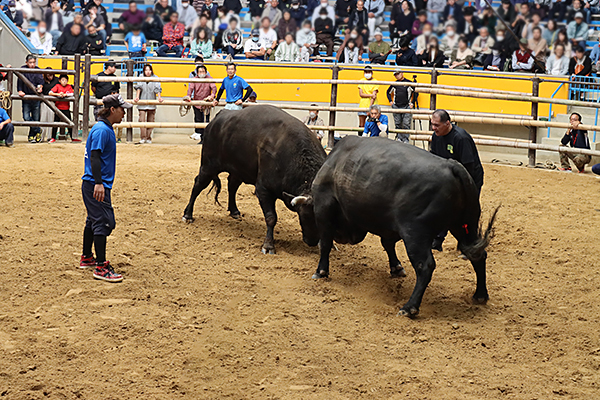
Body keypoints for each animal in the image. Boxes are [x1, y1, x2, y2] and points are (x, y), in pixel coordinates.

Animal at [182, 105, 326, 253]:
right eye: (306, 215)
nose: (312, 241)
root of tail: (220, 116)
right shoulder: (263, 190)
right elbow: (271, 217)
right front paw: (268, 245)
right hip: (208, 166)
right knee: (198, 185)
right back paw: (188, 215)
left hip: (238, 170)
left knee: (232, 185)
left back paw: (234, 211)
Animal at [292, 136, 500, 318]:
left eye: (305, 216)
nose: (307, 240)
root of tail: (453, 165)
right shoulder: (388, 227)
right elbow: (388, 244)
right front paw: (396, 268)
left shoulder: (323, 209)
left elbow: (326, 243)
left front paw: (321, 272)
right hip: (464, 226)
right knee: (477, 255)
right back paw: (480, 294)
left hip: (416, 234)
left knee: (425, 266)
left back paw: (409, 307)